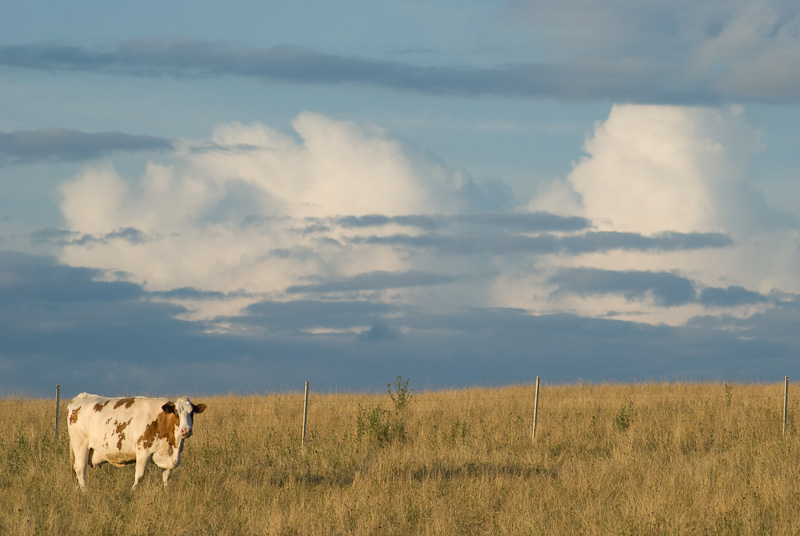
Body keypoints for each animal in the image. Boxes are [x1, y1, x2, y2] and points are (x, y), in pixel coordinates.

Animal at [66, 394, 206, 490]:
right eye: (176, 412)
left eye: (192, 413)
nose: (186, 430)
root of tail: (79, 398)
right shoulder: (143, 453)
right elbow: (139, 476)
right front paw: (132, 492)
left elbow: (167, 476)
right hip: (81, 446)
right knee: (80, 468)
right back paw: (85, 491)